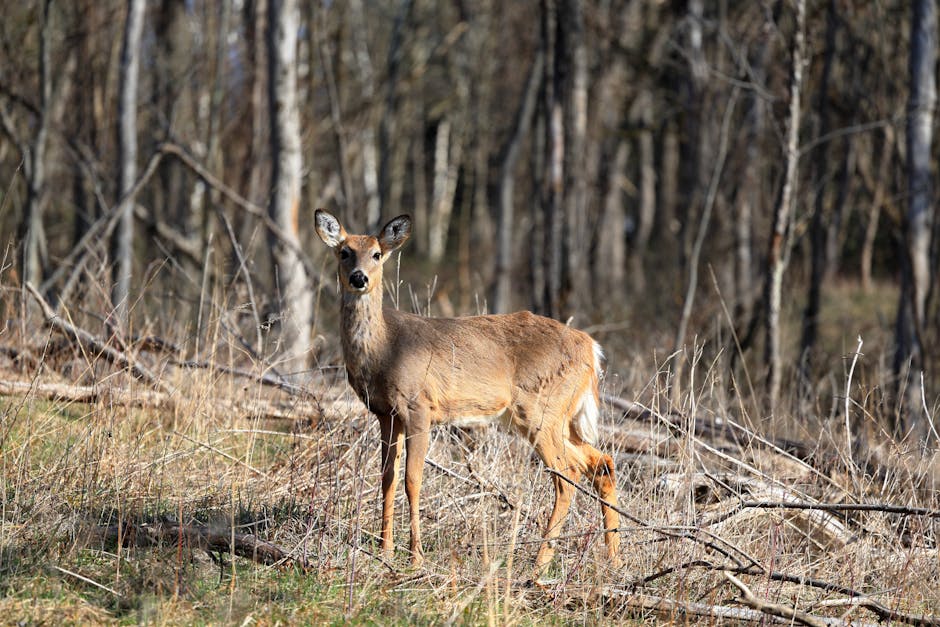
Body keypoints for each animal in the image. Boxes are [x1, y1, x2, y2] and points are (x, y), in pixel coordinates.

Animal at [314, 209, 621, 575]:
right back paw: (613, 556)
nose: (359, 278)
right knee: (601, 462)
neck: (384, 349)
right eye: (344, 252)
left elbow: (412, 479)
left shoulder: (419, 407)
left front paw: (416, 557)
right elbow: (387, 477)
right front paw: (385, 551)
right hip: (559, 417)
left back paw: (539, 564)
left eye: (377, 254)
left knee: (567, 474)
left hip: (540, 410)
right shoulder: (385, 413)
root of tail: (592, 348)